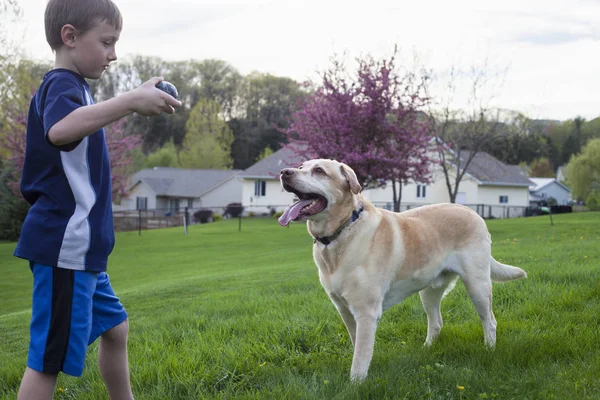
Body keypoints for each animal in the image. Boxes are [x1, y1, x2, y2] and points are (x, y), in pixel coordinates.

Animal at [276, 158, 524, 380]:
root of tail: (474, 213)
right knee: (436, 323)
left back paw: (489, 351)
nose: (284, 172)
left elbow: (360, 357)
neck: (343, 231)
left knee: (490, 321)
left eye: (319, 170)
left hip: (477, 285)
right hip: (429, 291)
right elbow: (358, 346)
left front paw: (356, 383)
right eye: (300, 166)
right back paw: (426, 350)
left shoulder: (366, 312)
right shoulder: (344, 310)